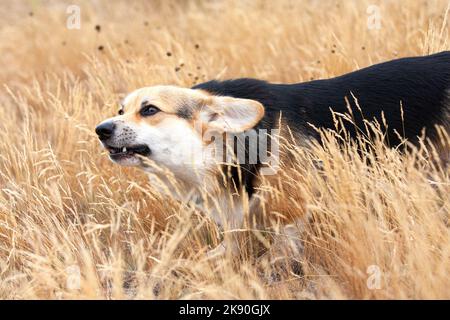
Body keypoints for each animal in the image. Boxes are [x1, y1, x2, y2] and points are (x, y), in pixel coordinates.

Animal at [96, 52, 450, 256]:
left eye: (150, 110)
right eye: (121, 110)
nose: (101, 129)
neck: (228, 147)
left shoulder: (293, 212)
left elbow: (282, 252)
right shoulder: (237, 221)